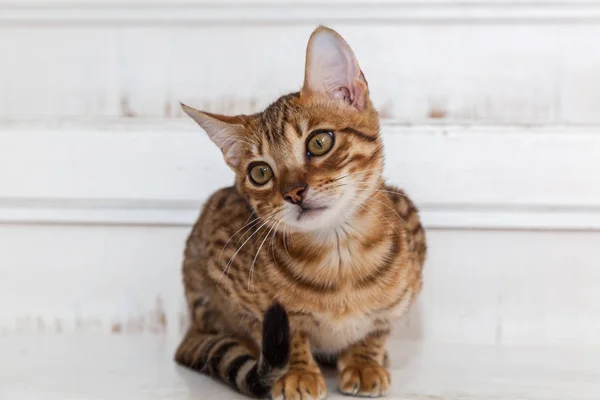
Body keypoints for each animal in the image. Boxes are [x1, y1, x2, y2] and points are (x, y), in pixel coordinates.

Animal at [173, 26, 426, 398]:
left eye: (320, 142)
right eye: (260, 173)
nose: (294, 192)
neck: (340, 258)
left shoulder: (412, 250)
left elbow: (378, 327)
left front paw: (364, 361)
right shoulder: (223, 267)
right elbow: (284, 331)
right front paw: (296, 371)